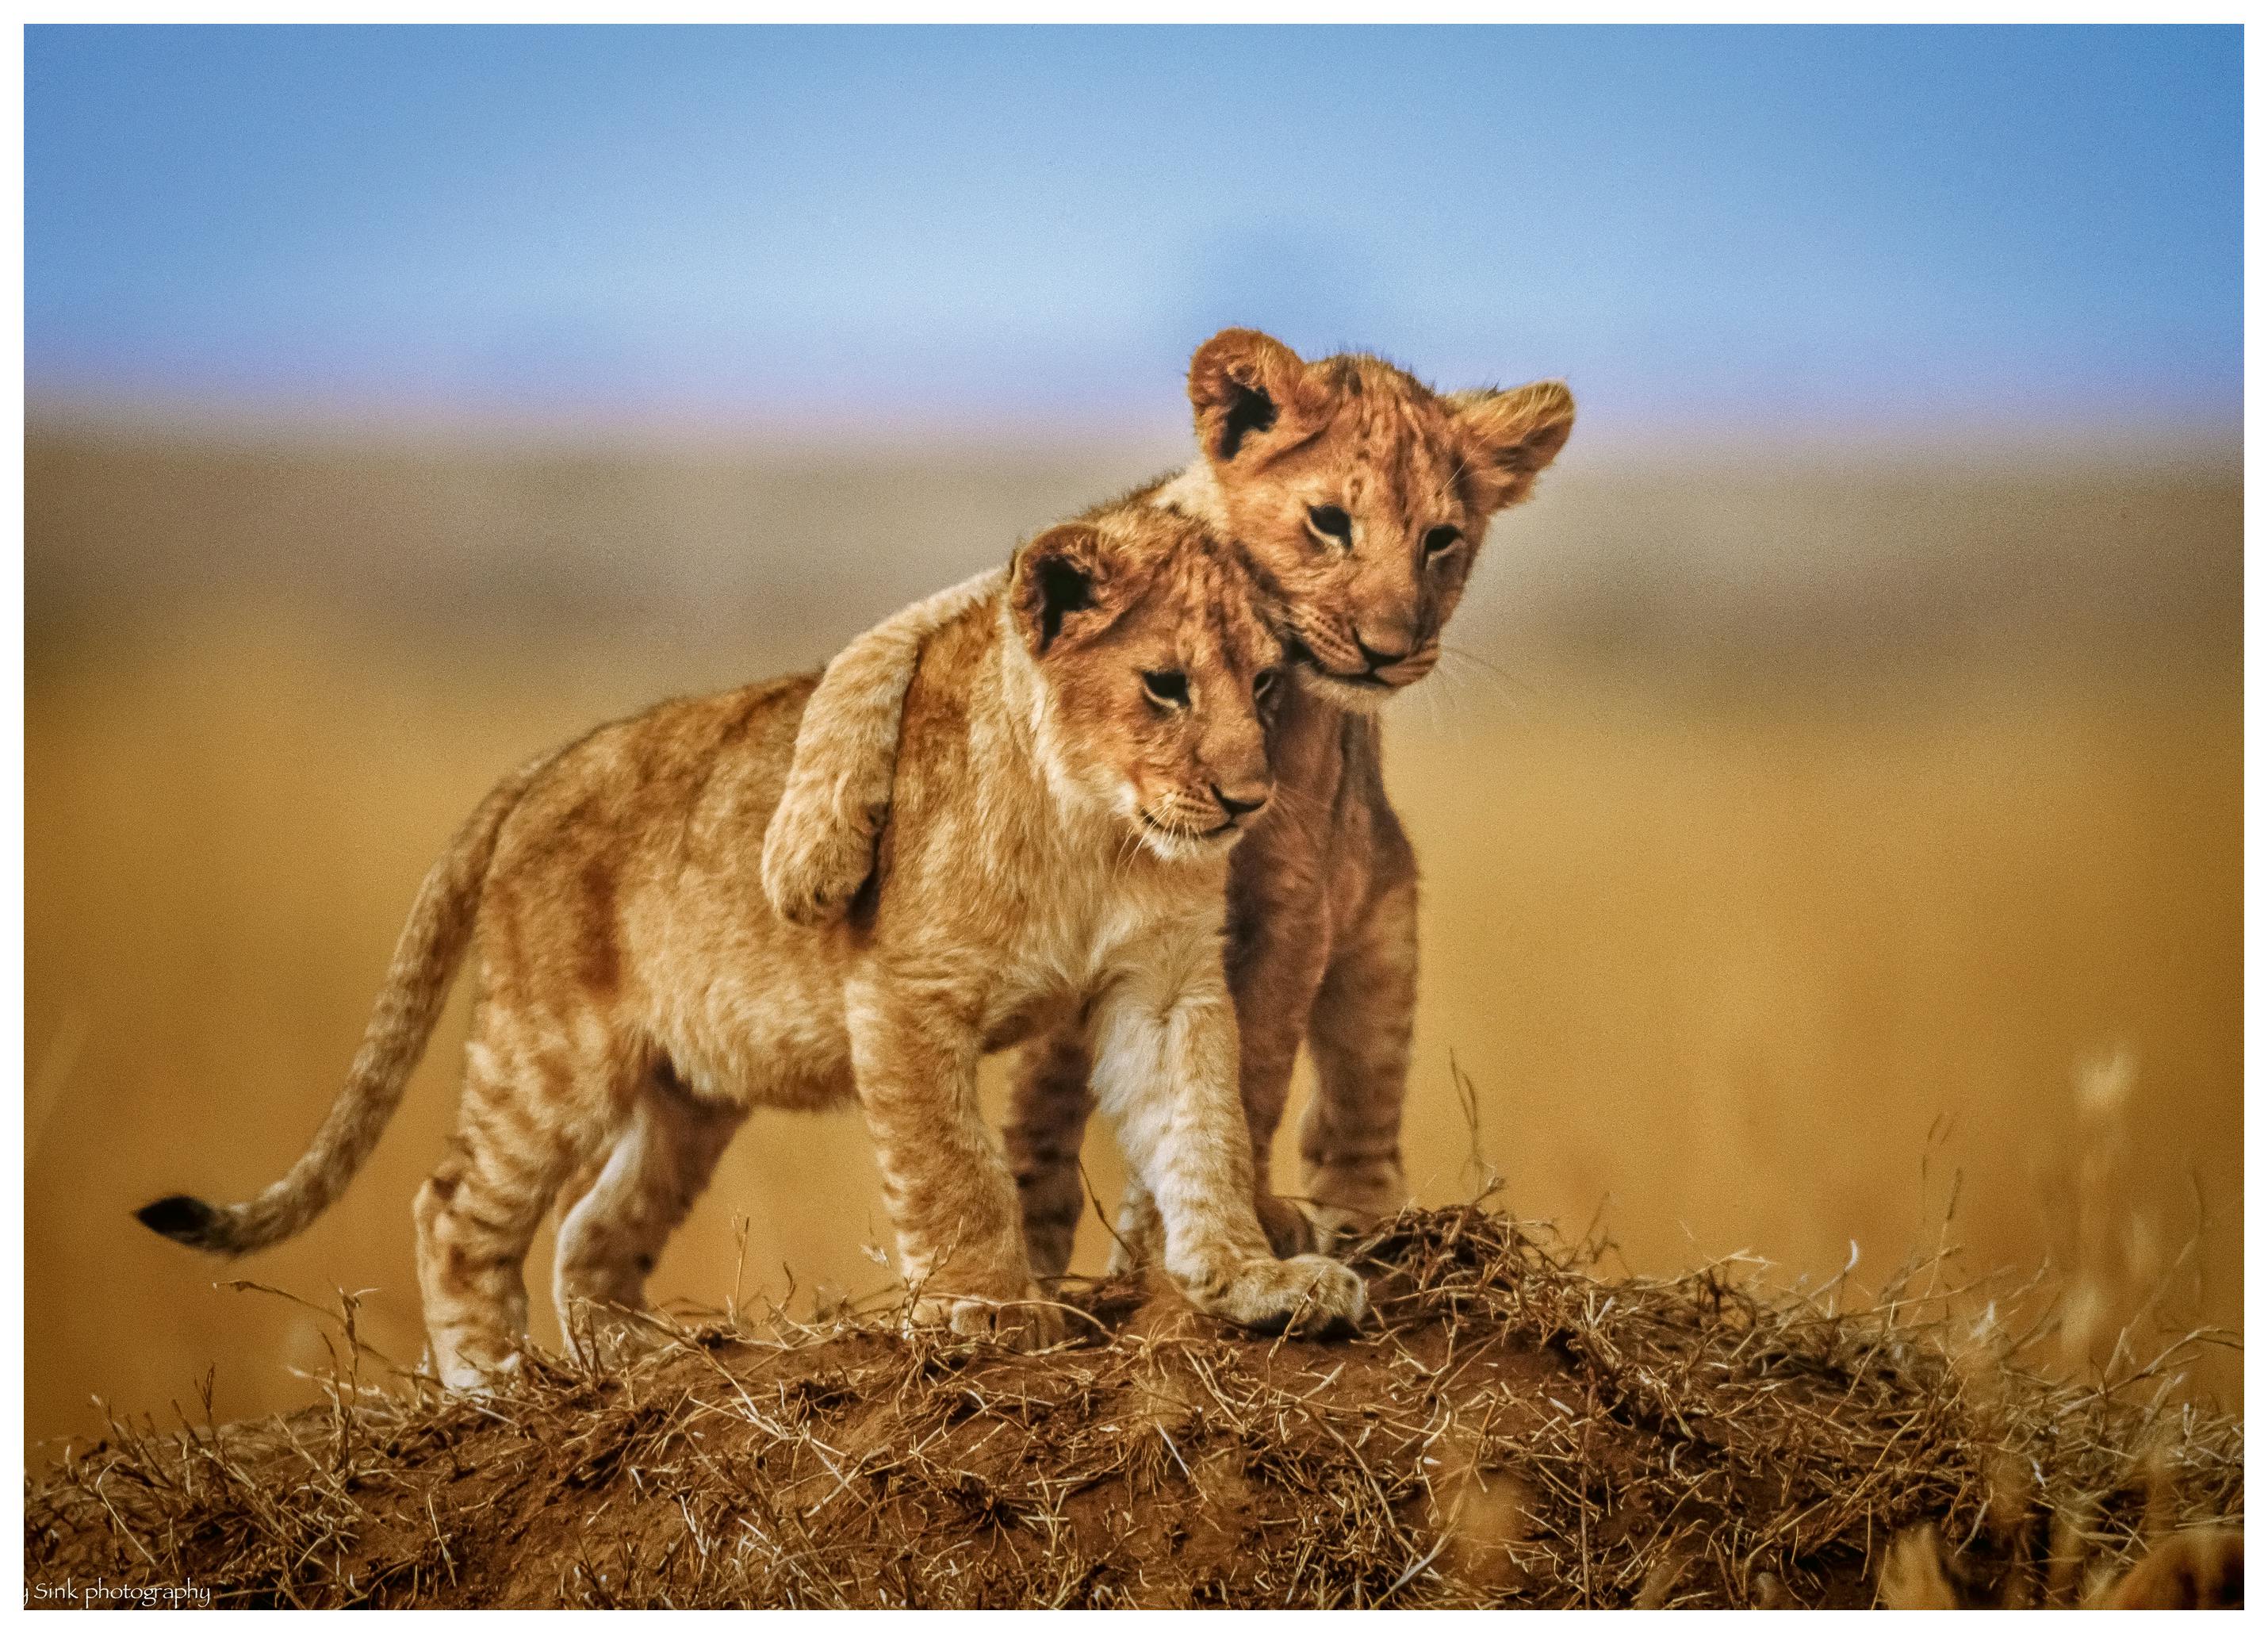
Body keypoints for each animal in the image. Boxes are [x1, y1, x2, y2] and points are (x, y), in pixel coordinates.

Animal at [136, 500, 1367, 1389]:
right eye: (1164, 686)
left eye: (1265, 683)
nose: (1249, 798)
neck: (1094, 831)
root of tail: (548, 762)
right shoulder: (905, 993)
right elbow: (955, 1168)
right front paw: (986, 1307)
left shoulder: (1162, 987)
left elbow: (1204, 1128)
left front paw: (1255, 1280)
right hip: (551, 1054)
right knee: (454, 1209)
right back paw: (493, 1384)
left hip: (688, 1093)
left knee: (592, 1229)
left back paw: (644, 1360)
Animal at [761, 328, 1576, 1272]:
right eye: (1330, 522)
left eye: (1442, 540)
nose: (1388, 649)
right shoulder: (1019, 593)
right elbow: (875, 649)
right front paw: (808, 857)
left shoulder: (1294, 898)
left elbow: (1250, 1071)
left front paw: (1219, 1230)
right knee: (1042, 1104)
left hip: (1382, 931)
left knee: (1354, 1110)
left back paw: (1358, 1224)